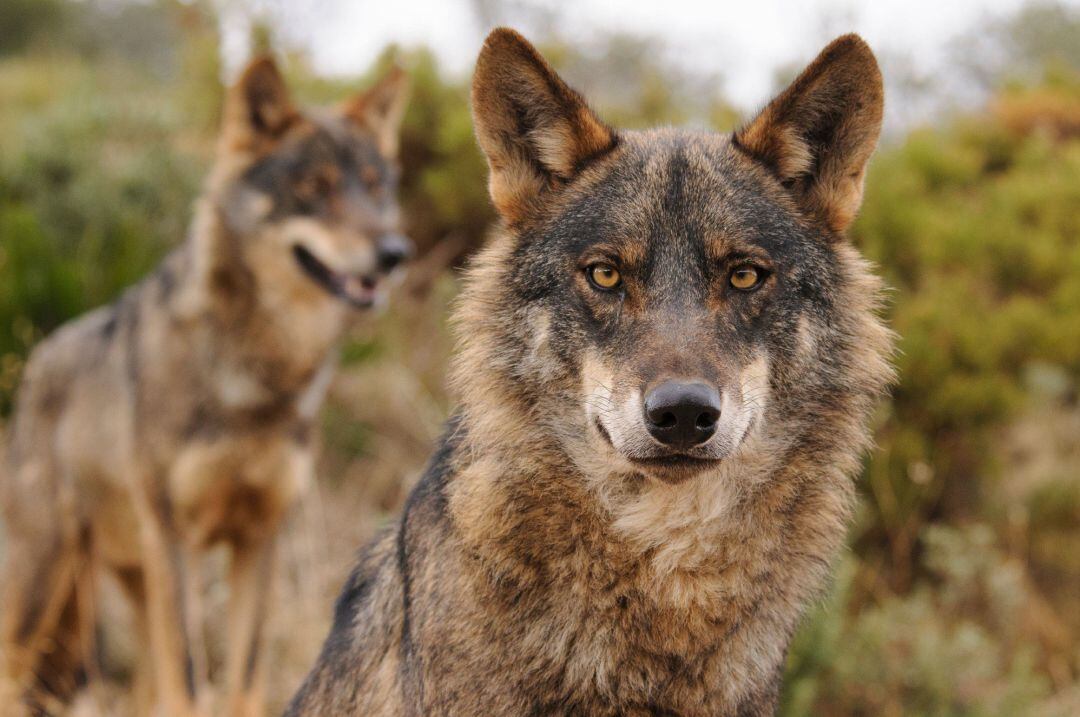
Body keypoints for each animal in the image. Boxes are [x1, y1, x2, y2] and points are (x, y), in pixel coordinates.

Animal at [0, 57, 410, 717]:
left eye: (374, 187)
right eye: (314, 188)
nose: (395, 253)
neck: (256, 377)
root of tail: (36, 358)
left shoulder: (259, 538)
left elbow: (243, 678)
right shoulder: (177, 539)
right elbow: (191, 682)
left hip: (130, 585)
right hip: (46, 583)